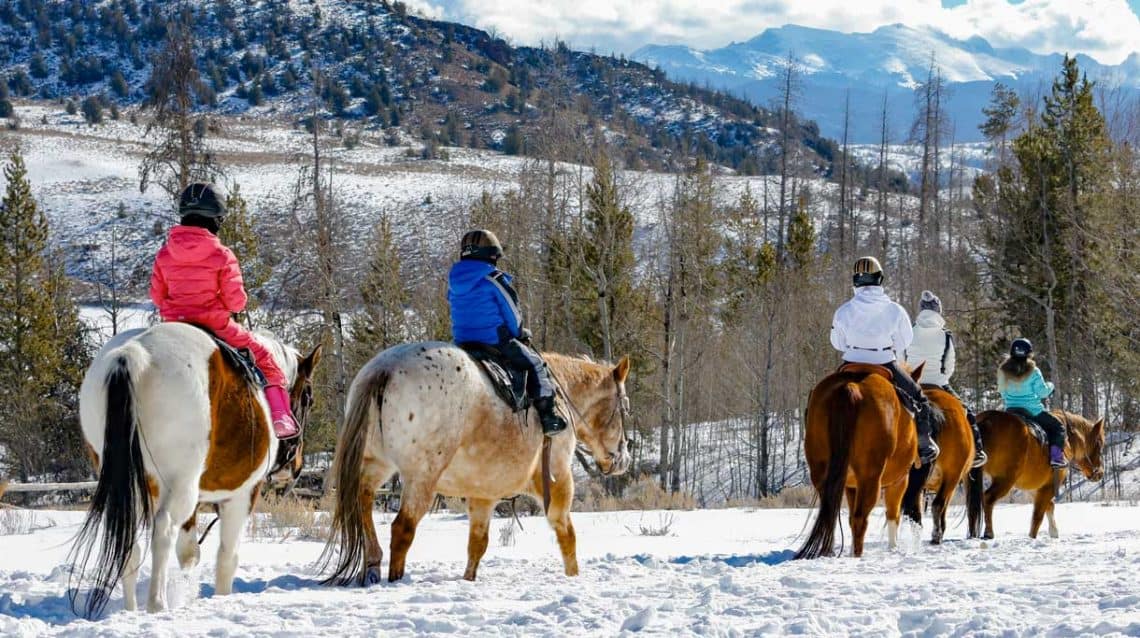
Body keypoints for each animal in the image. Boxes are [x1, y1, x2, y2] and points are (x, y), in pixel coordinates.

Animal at [67, 323, 321, 619]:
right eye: (308, 397)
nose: (295, 466)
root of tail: (132, 354)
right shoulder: (243, 492)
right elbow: (227, 558)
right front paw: (220, 597)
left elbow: (188, 553)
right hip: (181, 483)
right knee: (163, 531)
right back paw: (157, 604)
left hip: (133, 484)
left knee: (130, 541)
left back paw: (130, 610)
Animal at [321, 341, 633, 587]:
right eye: (624, 407)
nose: (622, 459)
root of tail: (384, 369)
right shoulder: (557, 482)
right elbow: (567, 534)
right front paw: (573, 577)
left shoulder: (483, 494)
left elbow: (477, 545)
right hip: (422, 477)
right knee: (402, 529)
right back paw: (394, 577)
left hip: (376, 464)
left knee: (362, 503)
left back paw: (373, 565)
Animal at [793, 362, 925, 560]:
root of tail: (850, 387)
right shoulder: (899, 481)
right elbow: (893, 514)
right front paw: (893, 548)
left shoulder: (850, 485)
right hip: (870, 478)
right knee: (860, 518)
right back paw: (857, 555)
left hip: (822, 472)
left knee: (830, 512)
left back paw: (828, 550)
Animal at [966, 410, 1108, 540]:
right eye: (1099, 444)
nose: (1100, 473)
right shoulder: (1049, 486)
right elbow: (1038, 515)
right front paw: (1032, 537)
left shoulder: (1034, 488)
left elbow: (1049, 506)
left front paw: (1054, 532)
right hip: (1005, 480)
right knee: (988, 498)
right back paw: (989, 532)